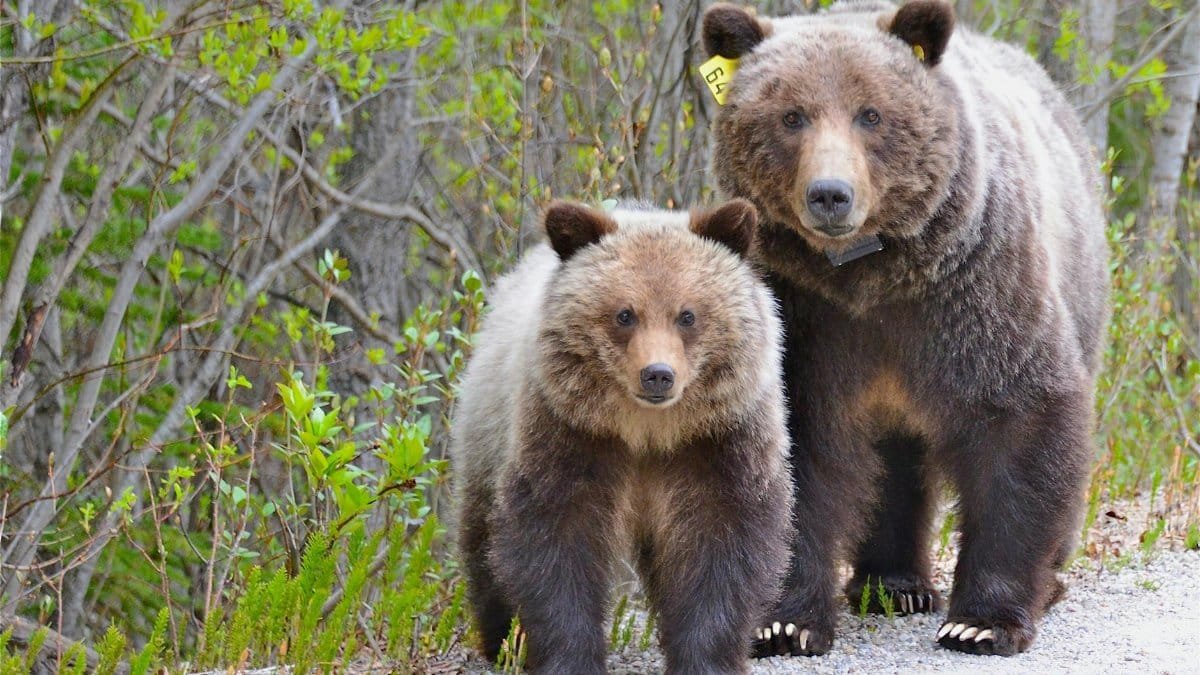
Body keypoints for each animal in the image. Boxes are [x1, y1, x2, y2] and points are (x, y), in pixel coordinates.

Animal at [451, 199, 795, 674]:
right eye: (625, 314)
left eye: (687, 315)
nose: (658, 374)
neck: (647, 431)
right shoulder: (571, 433)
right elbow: (556, 538)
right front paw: (569, 656)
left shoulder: (718, 440)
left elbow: (721, 541)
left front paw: (705, 657)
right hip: (488, 429)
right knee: (483, 537)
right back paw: (502, 639)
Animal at [701, 0, 1109, 658]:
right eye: (792, 116)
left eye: (871, 114)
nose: (830, 195)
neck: (871, 276)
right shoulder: (805, 314)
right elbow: (797, 444)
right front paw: (783, 622)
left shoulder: (973, 288)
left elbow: (1022, 415)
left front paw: (980, 622)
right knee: (894, 460)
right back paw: (892, 584)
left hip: (1079, 281)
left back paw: (1044, 583)